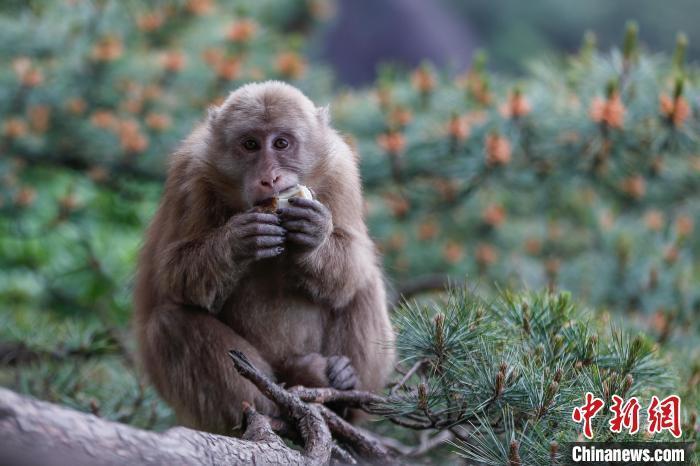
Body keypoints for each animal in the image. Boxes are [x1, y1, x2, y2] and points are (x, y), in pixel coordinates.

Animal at [131, 81, 394, 436]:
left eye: (281, 143)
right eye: (251, 145)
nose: (269, 178)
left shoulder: (341, 170)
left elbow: (353, 261)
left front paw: (313, 237)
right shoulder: (191, 175)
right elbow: (174, 277)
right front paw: (237, 242)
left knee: (361, 285)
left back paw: (341, 391)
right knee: (170, 323)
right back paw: (275, 408)